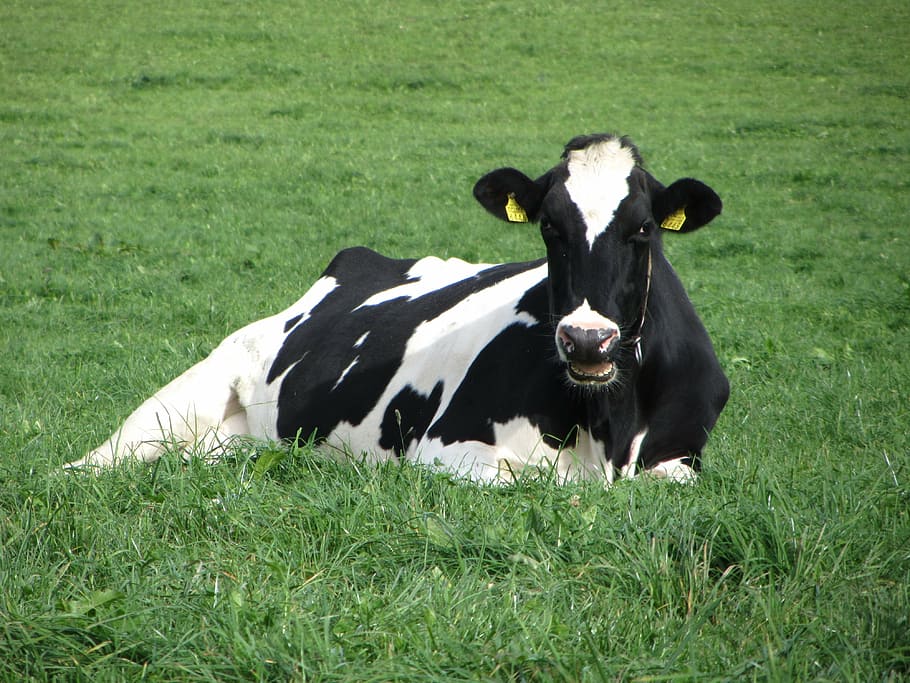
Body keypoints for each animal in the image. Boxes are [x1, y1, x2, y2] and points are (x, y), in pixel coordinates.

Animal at [66, 134, 729, 483]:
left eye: (643, 229)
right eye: (549, 226)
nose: (587, 339)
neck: (606, 425)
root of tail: (356, 260)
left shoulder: (683, 460)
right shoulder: (444, 447)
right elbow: (534, 481)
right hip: (187, 393)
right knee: (94, 461)